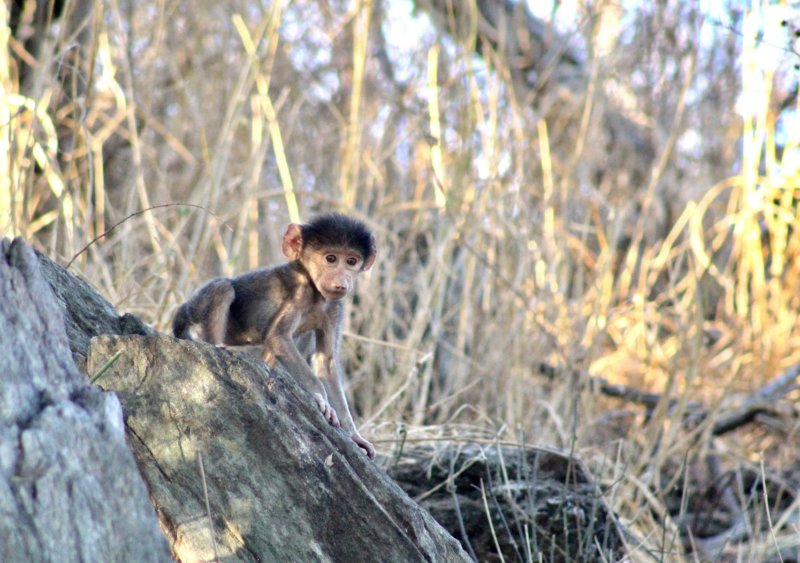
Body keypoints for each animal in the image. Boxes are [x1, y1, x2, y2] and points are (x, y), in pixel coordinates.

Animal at [173, 213, 377, 459]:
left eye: (351, 261)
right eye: (330, 258)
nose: (341, 281)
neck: (315, 292)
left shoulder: (334, 308)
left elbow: (325, 361)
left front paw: (355, 435)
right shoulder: (299, 293)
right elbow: (278, 337)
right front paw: (320, 397)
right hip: (199, 309)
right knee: (223, 288)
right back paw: (217, 345)